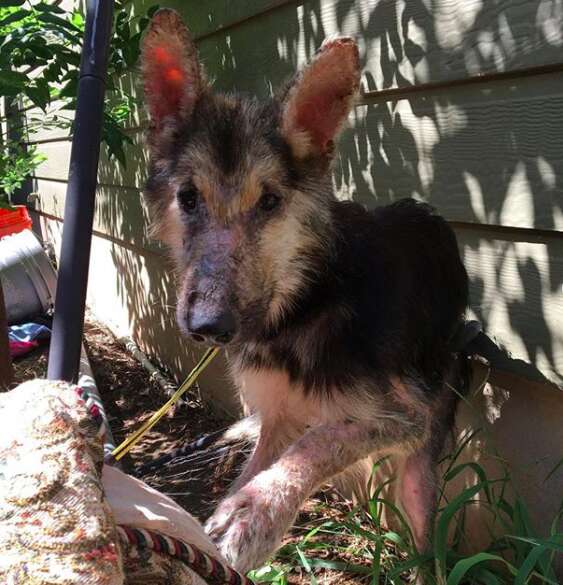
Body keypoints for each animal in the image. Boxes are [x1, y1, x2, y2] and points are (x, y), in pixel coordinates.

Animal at [139, 9, 470, 572]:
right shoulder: (278, 416)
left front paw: (255, 511)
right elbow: (261, 462)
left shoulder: (406, 417)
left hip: (422, 463)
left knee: (424, 538)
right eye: (188, 198)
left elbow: (319, 442)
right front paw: (230, 518)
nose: (209, 327)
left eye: (270, 201)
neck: (305, 301)